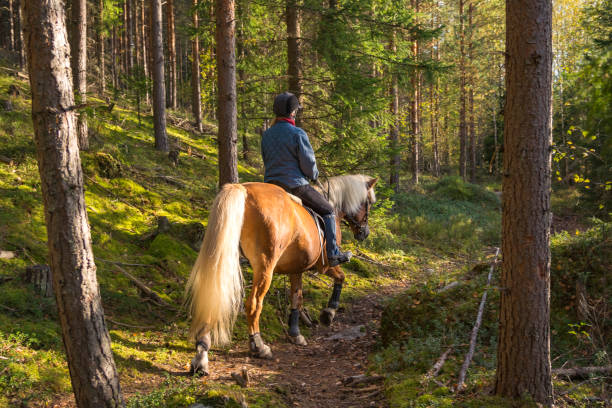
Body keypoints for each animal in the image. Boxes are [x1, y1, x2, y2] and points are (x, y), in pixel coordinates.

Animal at [185, 174, 378, 374]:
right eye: (369, 203)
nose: (364, 233)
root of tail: (244, 189)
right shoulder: (324, 266)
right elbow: (341, 277)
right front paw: (328, 313)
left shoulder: (296, 270)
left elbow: (296, 299)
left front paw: (295, 334)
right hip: (265, 267)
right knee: (254, 304)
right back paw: (259, 345)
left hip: (224, 256)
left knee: (213, 295)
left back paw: (201, 353)